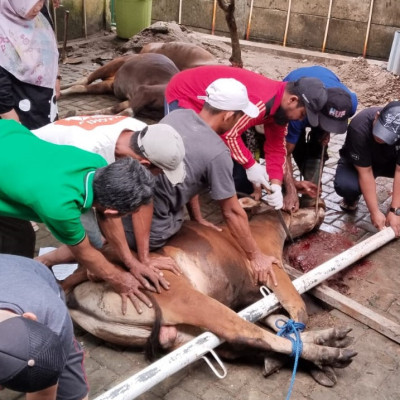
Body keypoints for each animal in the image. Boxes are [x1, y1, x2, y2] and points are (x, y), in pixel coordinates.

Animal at [65, 205, 356, 386]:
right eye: (298, 205)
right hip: (190, 299)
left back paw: (319, 349)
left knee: (239, 344)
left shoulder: (249, 295)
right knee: (247, 334)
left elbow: (279, 320)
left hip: (178, 334)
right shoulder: (273, 268)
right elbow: (297, 310)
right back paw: (328, 354)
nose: (322, 205)